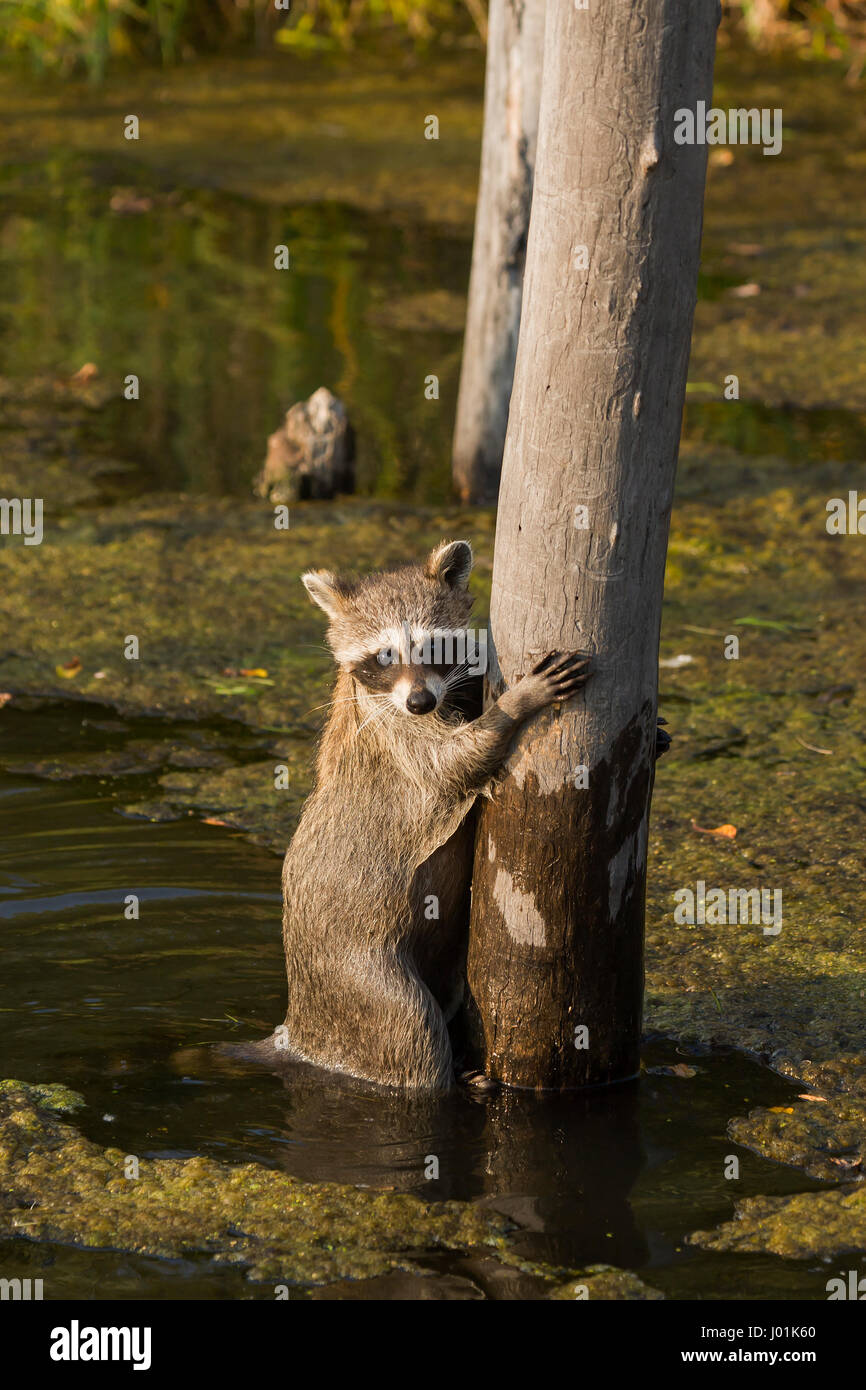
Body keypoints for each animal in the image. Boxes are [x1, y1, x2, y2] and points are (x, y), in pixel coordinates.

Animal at [266, 540, 592, 1092]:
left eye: (433, 647)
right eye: (383, 655)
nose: (420, 701)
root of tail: (301, 1027)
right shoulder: (390, 730)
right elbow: (450, 763)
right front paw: (517, 701)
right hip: (356, 976)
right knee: (409, 1035)